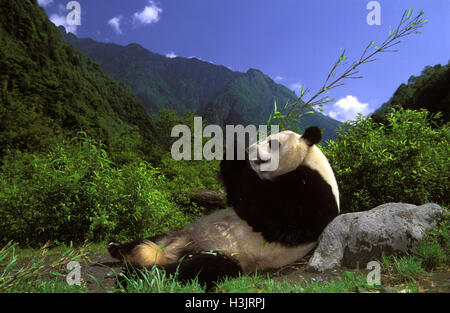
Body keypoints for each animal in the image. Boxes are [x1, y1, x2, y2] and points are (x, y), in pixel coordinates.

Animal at [107, 125, 340, 288]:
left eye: (273, 142)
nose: (252, 148)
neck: (309, 161)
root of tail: (175, 250)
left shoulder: (313, 197)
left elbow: (274, 218)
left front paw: (234, 150)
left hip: (229, 254)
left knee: (195, 269)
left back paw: (133, 274)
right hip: (179, 233)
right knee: (156, 238)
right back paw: (117, 248)